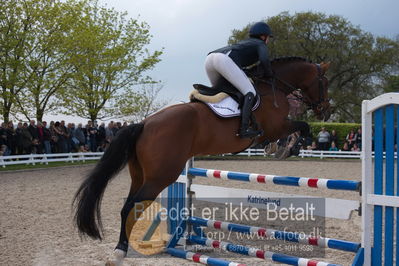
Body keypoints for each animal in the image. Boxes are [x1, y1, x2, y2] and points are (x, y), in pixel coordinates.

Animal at [72, 56, 332, 264]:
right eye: (325, 83)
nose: (325, 110)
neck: (273, 87)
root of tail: (144, 124)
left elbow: (294, 130)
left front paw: (278, 148)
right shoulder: (275, 126)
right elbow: (302, 127)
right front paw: (290, 147)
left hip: (140, 175)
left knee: (129, 207)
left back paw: (123, 249)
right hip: (161, 176)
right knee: (131, 207)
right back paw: (119, 253)